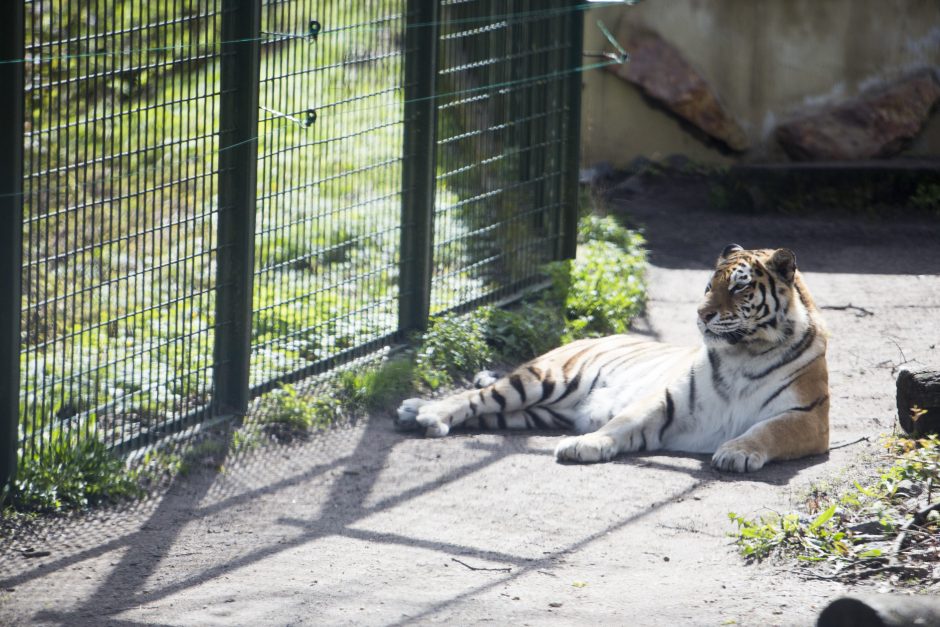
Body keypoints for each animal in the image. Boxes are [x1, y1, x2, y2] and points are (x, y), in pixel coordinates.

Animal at [396, 245, 828, 472]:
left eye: (739, 288)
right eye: (709, 286)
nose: (702, 314)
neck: (743, 351)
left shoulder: (807, 417)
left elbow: (766, 432)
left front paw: (735, 452)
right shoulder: (668, 400)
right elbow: (623, 421)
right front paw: (584, 445)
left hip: (535, 412)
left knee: (487, 410)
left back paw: (416, 412)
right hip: (542, 379)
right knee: (476, 397)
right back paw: (427, 413)